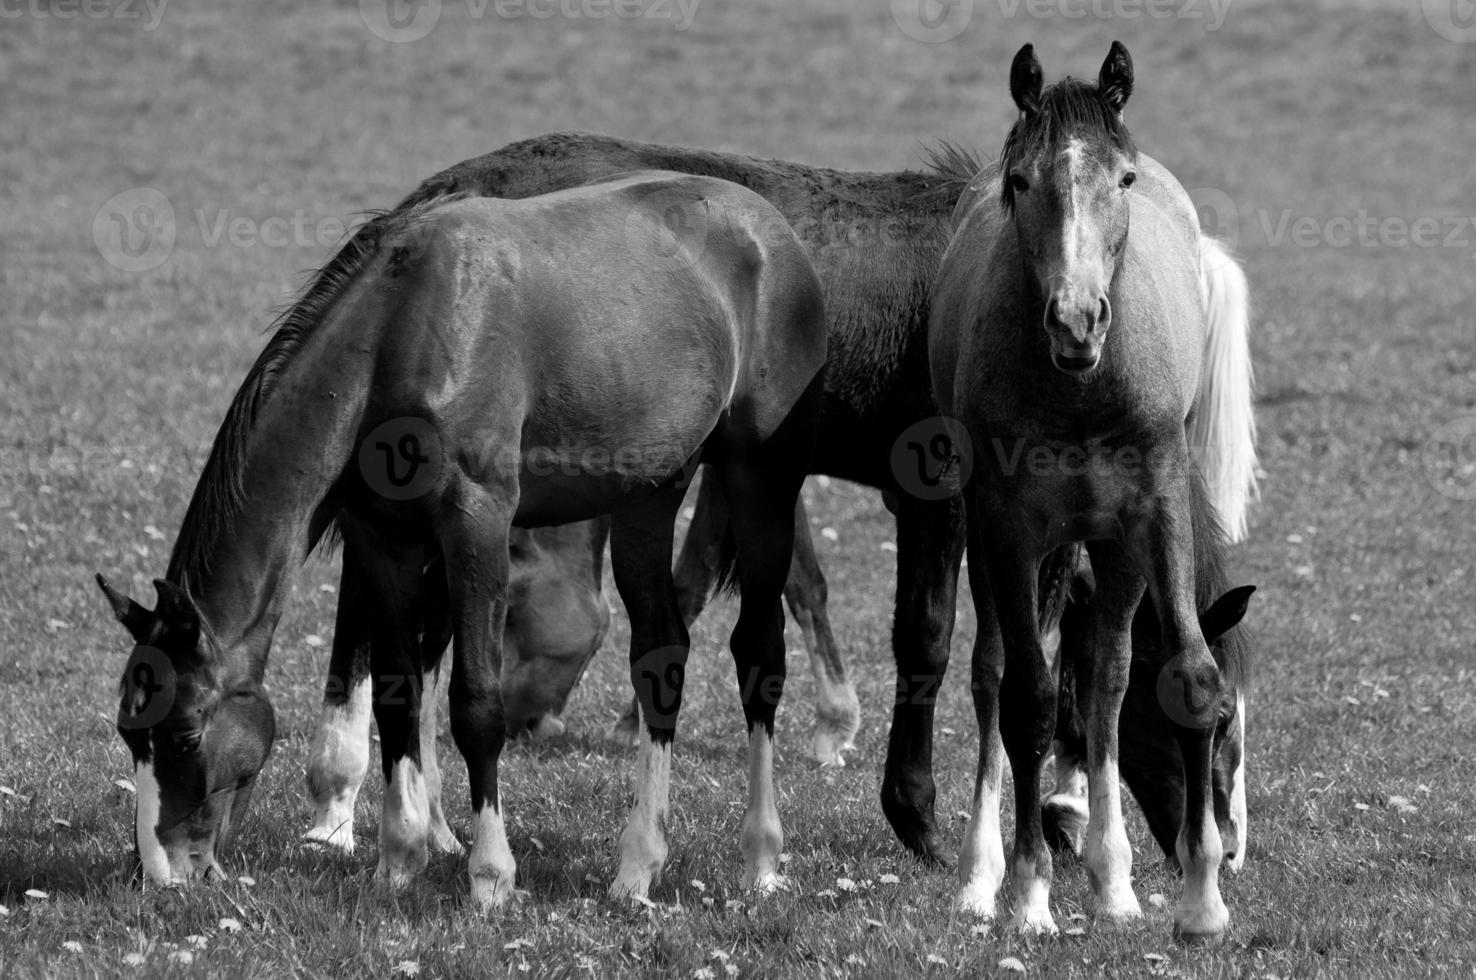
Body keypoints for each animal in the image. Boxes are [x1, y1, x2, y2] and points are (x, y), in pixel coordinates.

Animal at [96, 170, 826, 909]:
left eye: (185, 734)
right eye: (130, 732)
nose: (158, 874)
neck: (400, 333)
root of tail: (770, 230)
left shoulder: (476, 523)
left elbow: (475, 705)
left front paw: (490, 876)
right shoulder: (384, 541)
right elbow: (396, 694)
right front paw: (399, 860)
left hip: (758, 481)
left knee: (760, 654)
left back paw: (761, 860)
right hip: (648, 498)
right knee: (660, 654)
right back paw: (636, 867)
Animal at [293, 128, 1251, 867]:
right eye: (1214, 719)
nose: (1225, 850)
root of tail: (431, 205)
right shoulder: (942, 497)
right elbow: (935, 640)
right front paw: (925, 817)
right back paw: (347, 808)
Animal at [926, 42, 1239, 938]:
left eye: (1123, 180)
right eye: (1022, 181)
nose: (1077, 319)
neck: (1081, 390)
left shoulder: (1155, 508)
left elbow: (1180, 676)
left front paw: (1201, 901)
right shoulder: (1007, 523)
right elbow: (1027, 697)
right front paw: (1029, 893)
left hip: (1112, 538)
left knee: (1106, 674)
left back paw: (1113, 877)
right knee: (994, 672)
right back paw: (982, 875)